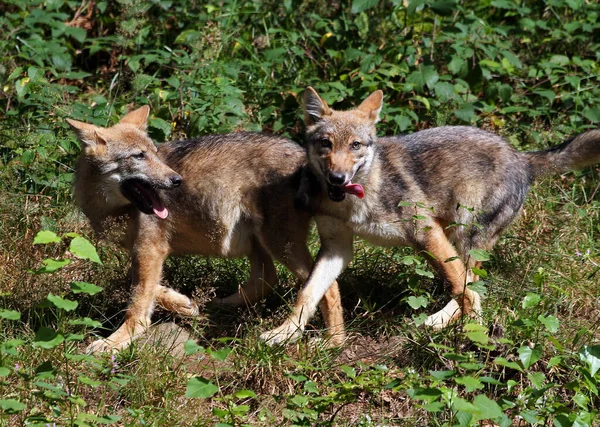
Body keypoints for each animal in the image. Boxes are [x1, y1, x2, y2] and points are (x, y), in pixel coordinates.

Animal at [67, 105, 344, 352]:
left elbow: (136, 302)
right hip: (255, 241)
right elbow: (142, 287)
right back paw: (218, 304)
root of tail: (304, 157)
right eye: (139, 156)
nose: (176, 180)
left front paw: (115, 342)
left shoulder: (149, 249)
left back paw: (333, 342)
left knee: (326, 287)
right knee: (266, 280)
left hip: (278, 243)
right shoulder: (144, 252)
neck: (108, 208)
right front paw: (182, 303)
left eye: (154, 153)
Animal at [260, 87, 600, 344]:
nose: (338, 178)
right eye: (325, 144)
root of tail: (522, 157)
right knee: (471, 282)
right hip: (452, 237)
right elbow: (308, 294)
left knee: (471, 283)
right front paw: (290, 334)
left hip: (462, 235)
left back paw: (441, 322)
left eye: (355, 145)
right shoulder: (337, 248)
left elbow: (462, 288)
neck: (359, 200)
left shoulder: (424, 232)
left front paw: (474, 333)